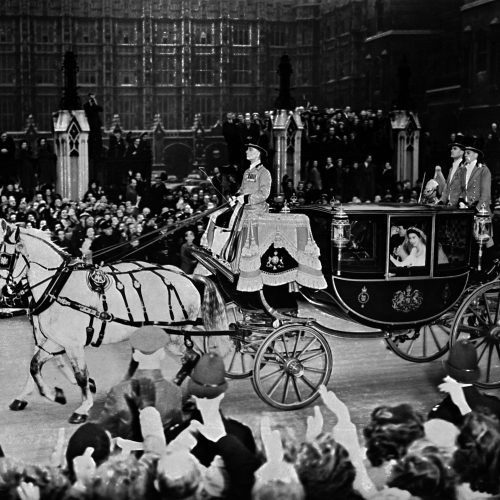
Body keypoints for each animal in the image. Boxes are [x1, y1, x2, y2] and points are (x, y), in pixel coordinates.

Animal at [0, 220, 228, 422]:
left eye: (3, 257)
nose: (4, 293)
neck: (58, 287)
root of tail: (187, 277)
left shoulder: (72, 344)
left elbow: (80, 375)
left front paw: (83, 407)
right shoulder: (54, 341)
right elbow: (34, 366)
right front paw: (50, 394)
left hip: (172, 335)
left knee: (192, 357)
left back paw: (174, 389)